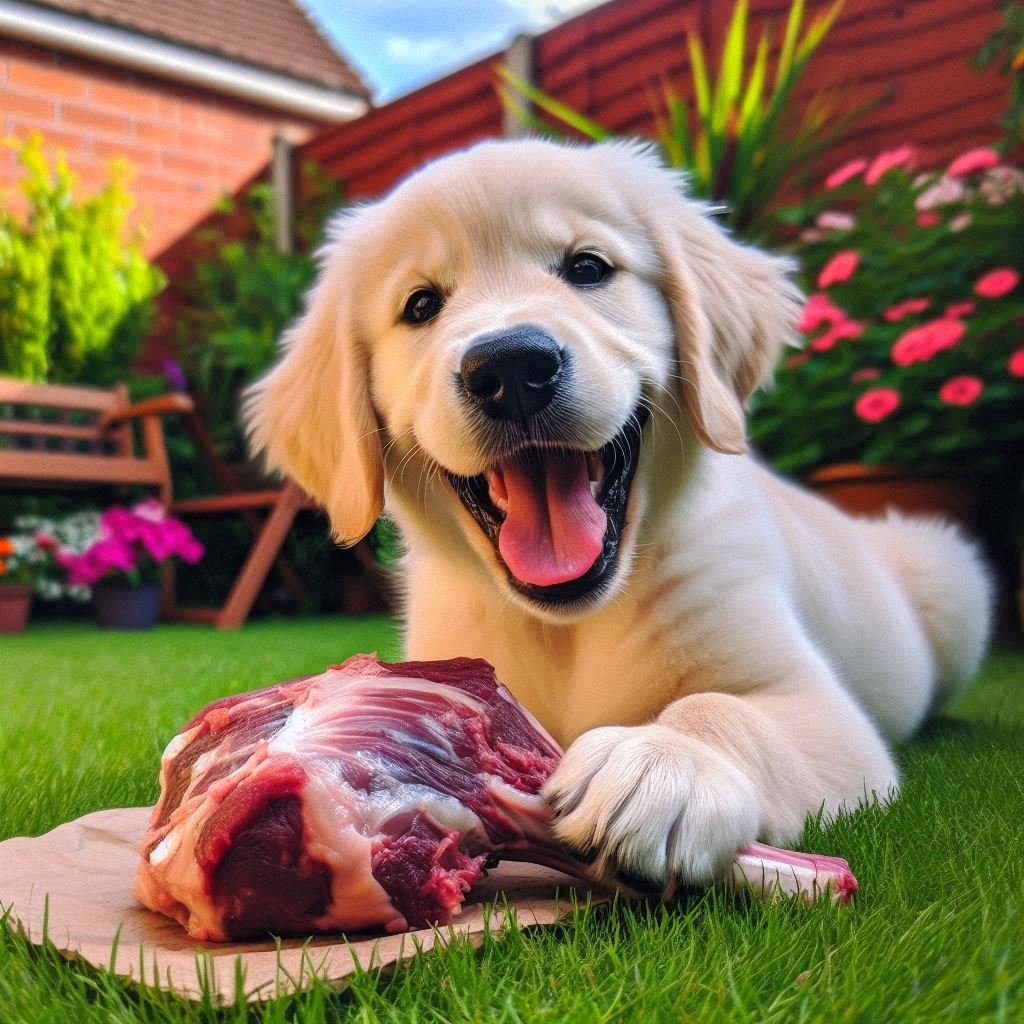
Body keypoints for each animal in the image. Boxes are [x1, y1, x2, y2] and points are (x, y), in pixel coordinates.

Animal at [243, 138, 987, 888]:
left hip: (950, 574)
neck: (568, 625)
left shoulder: (819, 707)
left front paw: (663, 765)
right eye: (421, 305)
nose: (510, 369)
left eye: (588, 268)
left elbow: (719, 706)